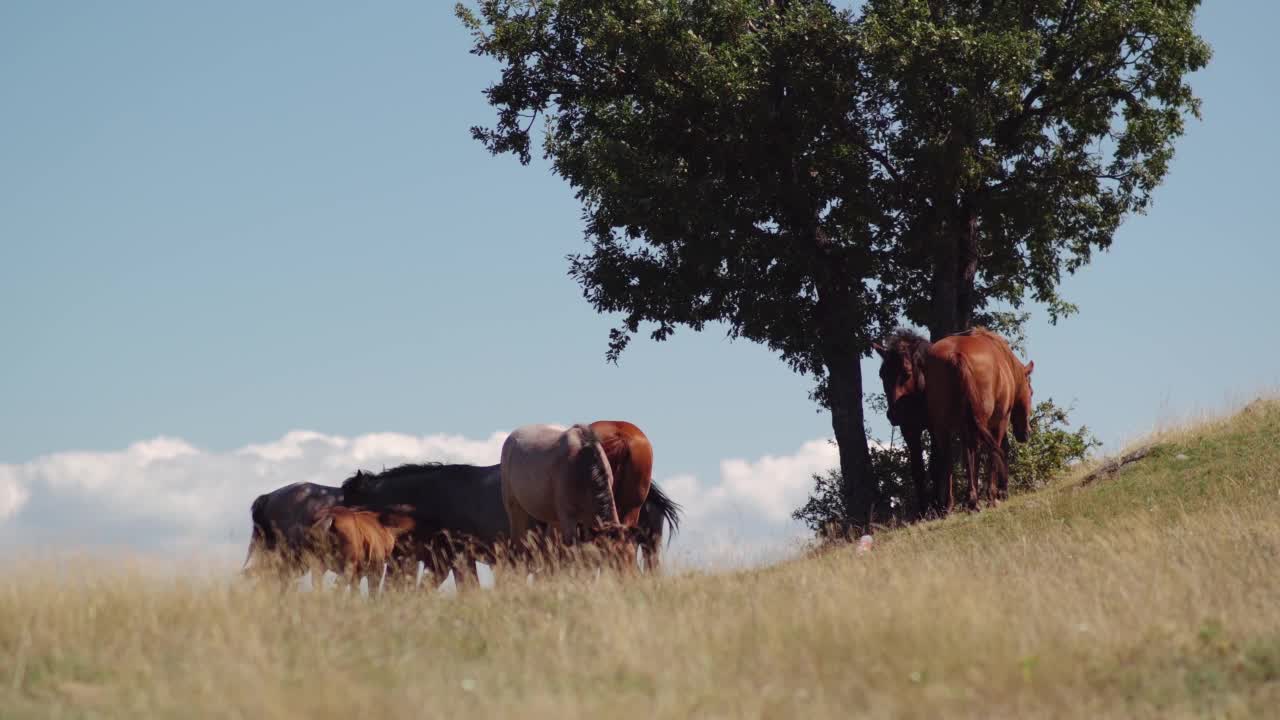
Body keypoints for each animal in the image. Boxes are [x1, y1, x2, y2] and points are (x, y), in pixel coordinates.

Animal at [926, 327, 1034, 507]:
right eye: (1031, 392)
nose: (1026, 433)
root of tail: (956, 355)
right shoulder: (999, 422)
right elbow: (995, 453)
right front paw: (993, 495)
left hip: (943, 426)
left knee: (949, 458)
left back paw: (950, 504)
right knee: (978, 452)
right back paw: (974, 500)